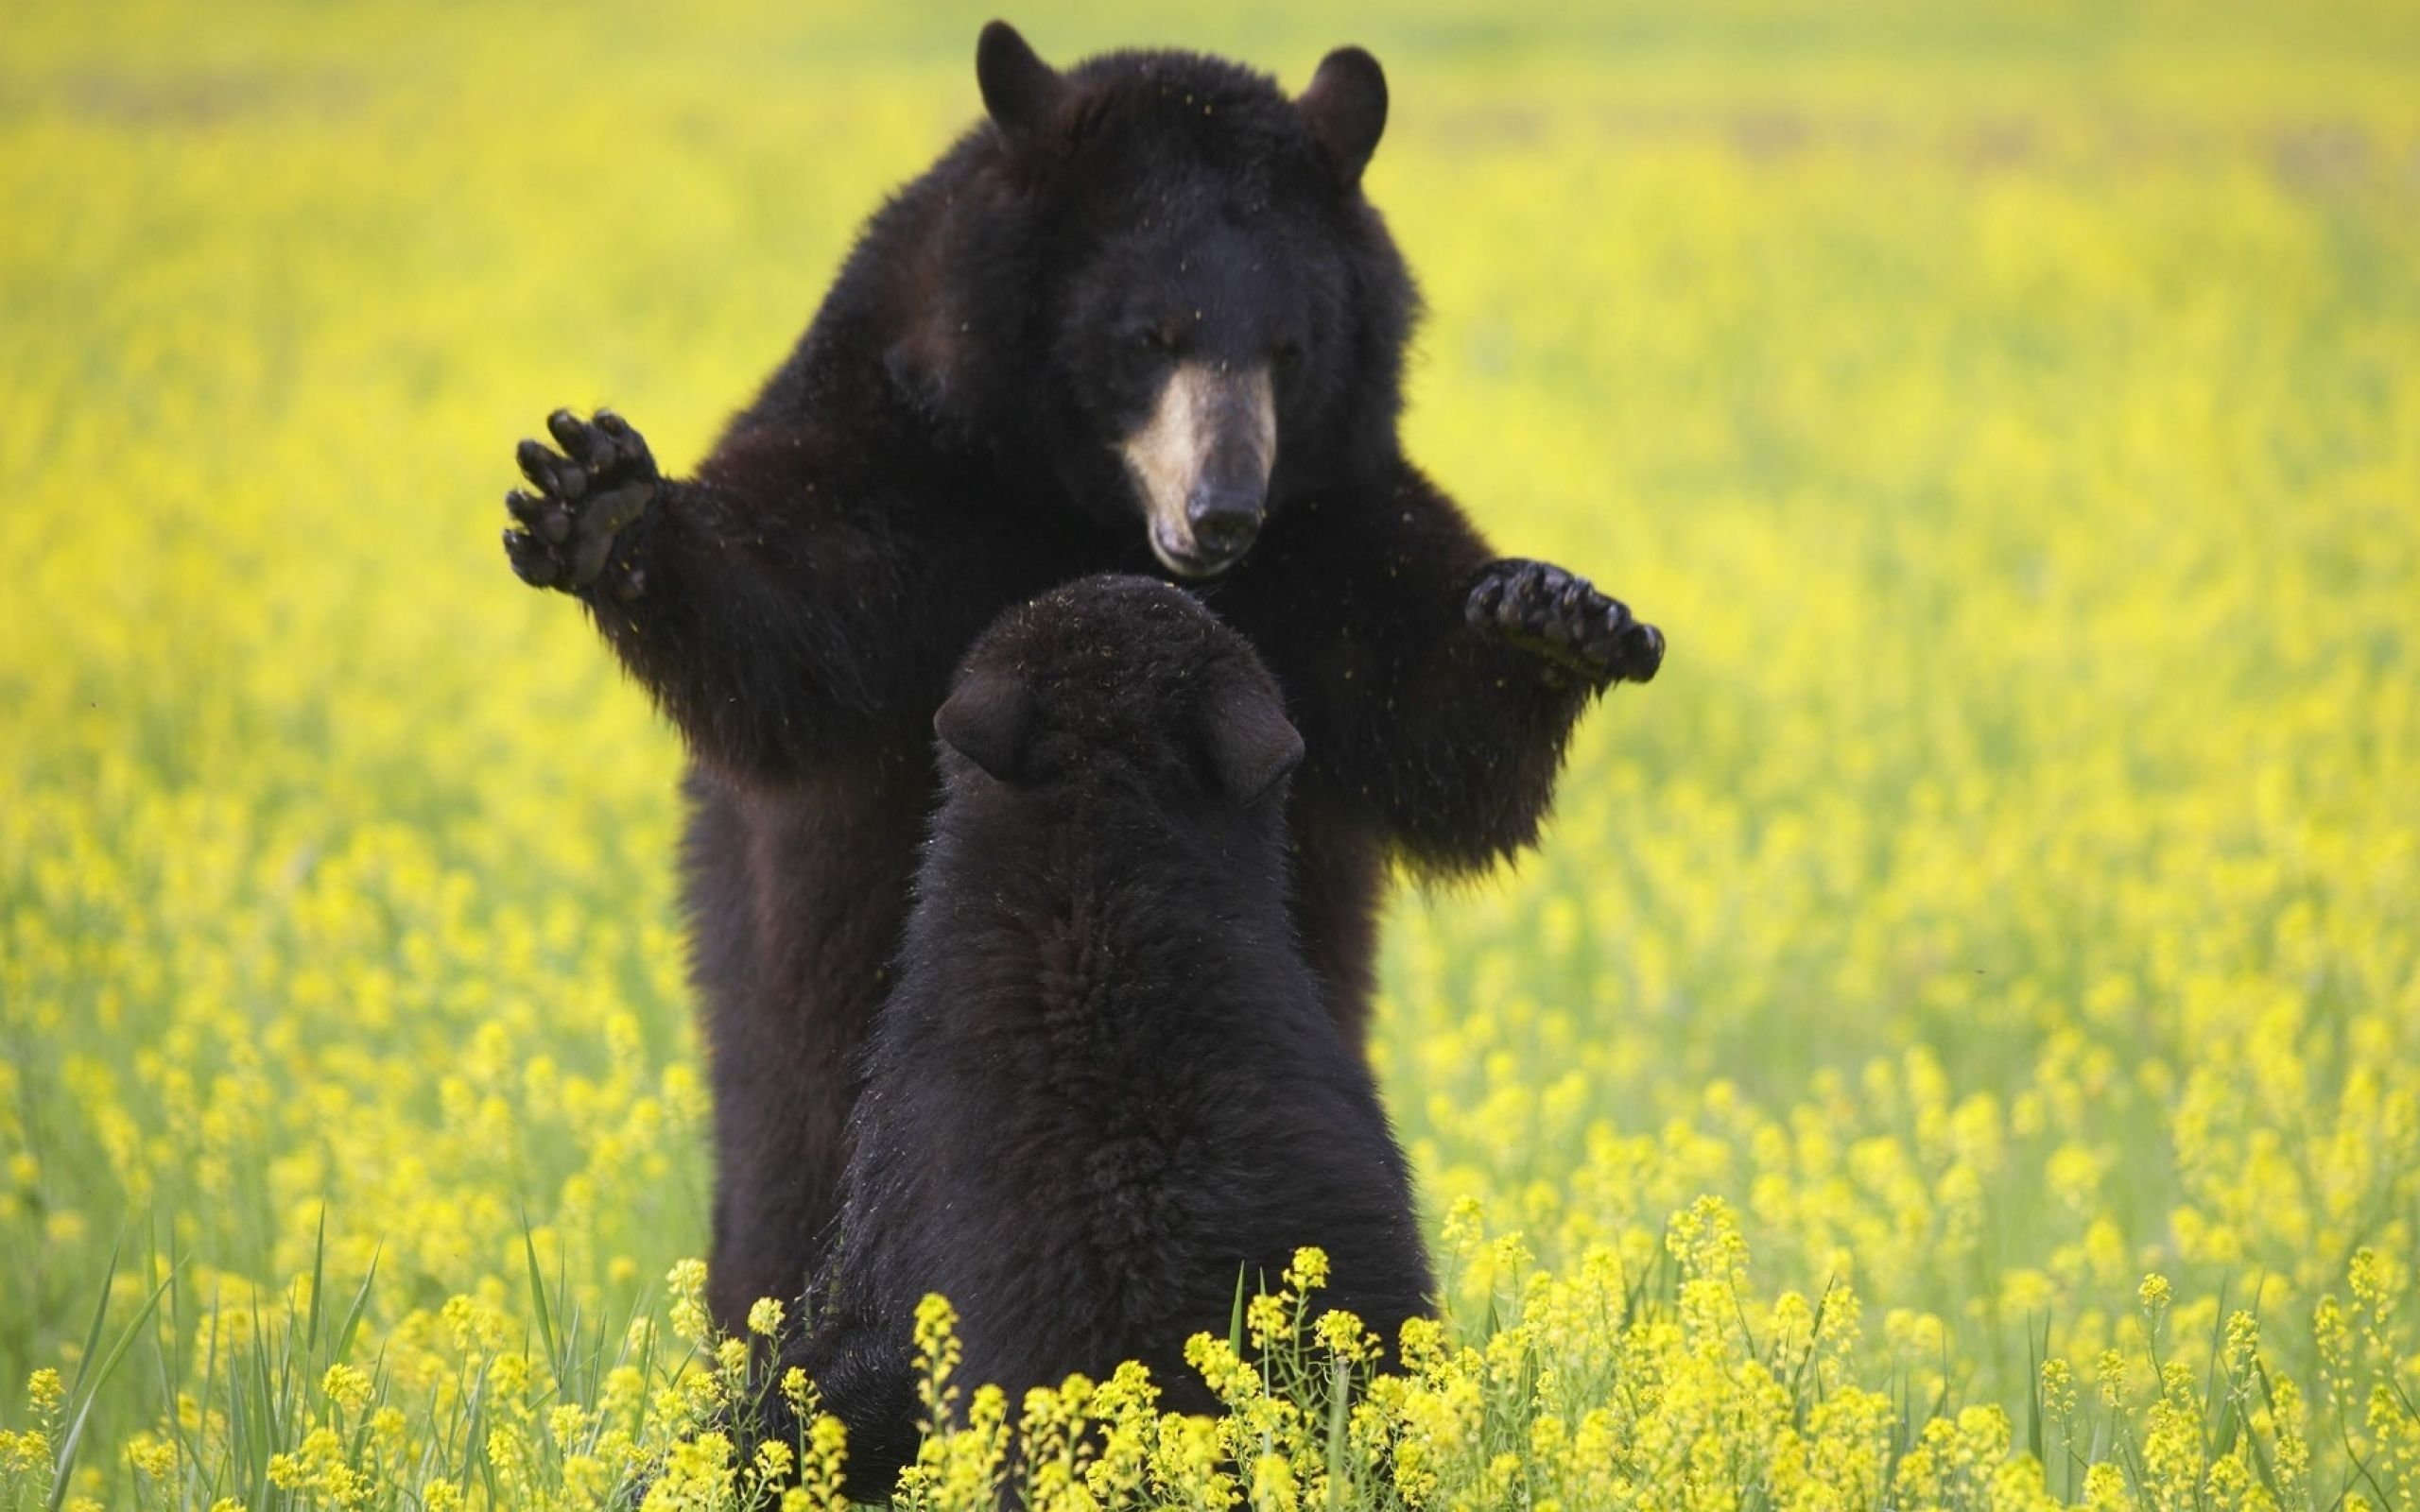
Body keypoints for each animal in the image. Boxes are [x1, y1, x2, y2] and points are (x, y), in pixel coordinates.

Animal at [498, 20, 1655, 1315]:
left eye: (1288, 347)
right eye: (1151, 337)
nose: (1222, 512)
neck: (1084, 506)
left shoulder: (1328, 528)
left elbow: (1428, 716)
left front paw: (1548, 620)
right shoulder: (908, 459)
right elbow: (794, 609)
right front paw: (604, 508)